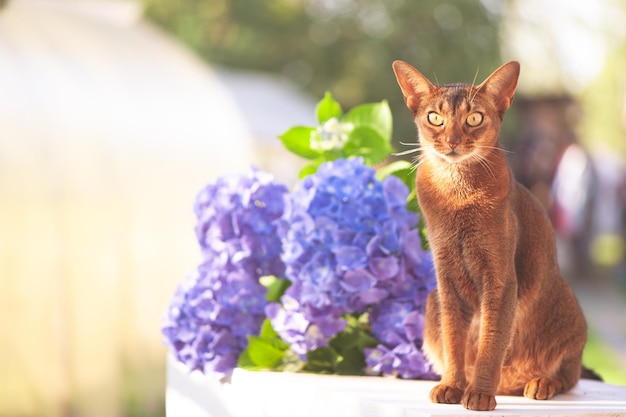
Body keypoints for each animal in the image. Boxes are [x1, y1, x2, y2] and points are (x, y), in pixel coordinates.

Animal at [392, 60, 588, 412]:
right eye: (435, 118)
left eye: (474, 118)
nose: (452, 140)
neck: (456, 194)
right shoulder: (446, 281)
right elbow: (454, 342)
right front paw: (453, 386)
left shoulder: (501, 280)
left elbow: (490, 341)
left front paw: (481, 394)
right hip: (430, 302)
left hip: (566, 308)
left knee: (569, 376)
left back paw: (540, 383)